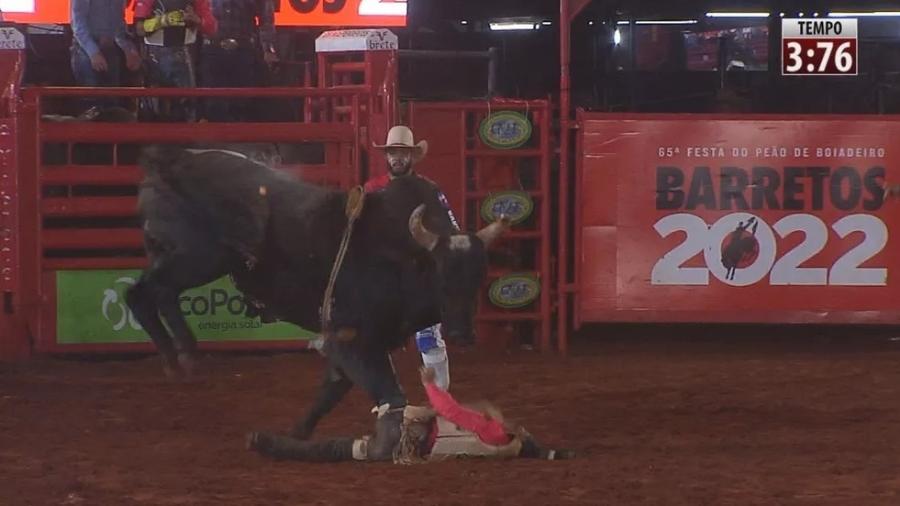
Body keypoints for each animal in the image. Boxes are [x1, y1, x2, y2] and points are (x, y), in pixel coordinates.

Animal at [126, 143, 510, 438]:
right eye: (441, 278)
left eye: (478, 279)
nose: (462, 333)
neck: (401, 255)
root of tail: (172, 160)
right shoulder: (351, 336)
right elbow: (388, 393)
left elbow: (333, 388)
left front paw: (299, 432)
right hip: (197, 257)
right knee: (145, 293)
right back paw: (179, 357)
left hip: (187, 260)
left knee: (155, 294)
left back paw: (182, 357)